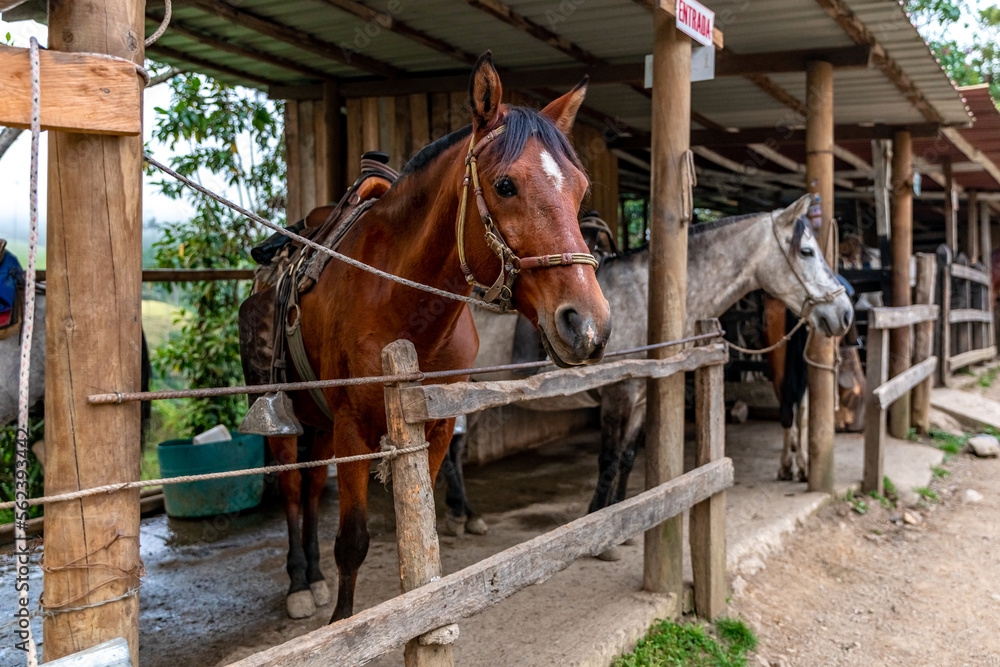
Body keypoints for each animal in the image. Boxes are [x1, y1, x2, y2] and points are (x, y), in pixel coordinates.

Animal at [250, 53, 612, 621]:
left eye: (579, 188)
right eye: (505, 186)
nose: (587, 323)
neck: (400, 303)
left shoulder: (435, 425)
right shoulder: (353, 428)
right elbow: (352, 541)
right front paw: (345, 623)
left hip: (320, 423)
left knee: (308, 490)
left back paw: (313, 577)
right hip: (288, 421)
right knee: (291, 489)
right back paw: (299, 584)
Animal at [442, 196, 854, 546]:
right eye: (806, 251)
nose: (845, 313)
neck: (643, 300)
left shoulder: (639, 396)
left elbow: (626, 458)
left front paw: (622, 520)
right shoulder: (617, 395)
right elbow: (608, 460)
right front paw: (600, 527)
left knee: (455, 450)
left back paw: (467, 515)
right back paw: (461, 516)